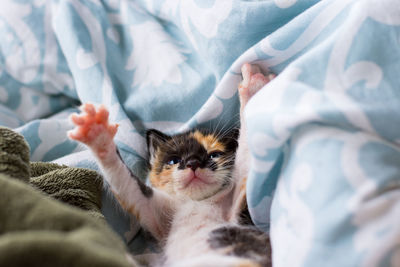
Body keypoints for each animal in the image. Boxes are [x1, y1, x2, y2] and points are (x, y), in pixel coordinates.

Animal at [68, 63, 276, 266]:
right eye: (173, 160)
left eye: (214, 155)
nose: (193, 162)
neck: (198, 202)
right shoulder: (155, 214)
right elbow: (129, 187)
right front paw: (97, 134)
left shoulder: (239, 209)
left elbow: (245, 157)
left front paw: (254, 86)